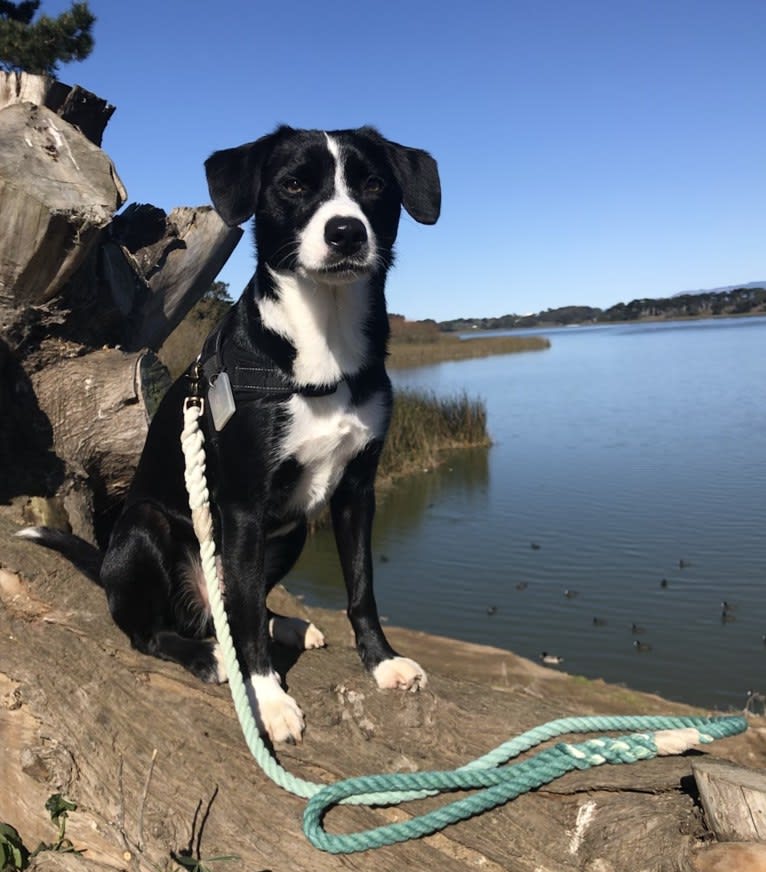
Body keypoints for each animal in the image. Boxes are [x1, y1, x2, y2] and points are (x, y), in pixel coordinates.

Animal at [18, 124, 444, 744]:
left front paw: (381, 662)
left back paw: (283, 624)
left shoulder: (356, 492)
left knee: (246, 603)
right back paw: (205, 654)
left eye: (373, 184)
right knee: (154, 631)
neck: (324, 342)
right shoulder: (244, 505)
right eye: (294, 185)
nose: (346, 231)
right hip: (146, 528)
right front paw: (269, 701)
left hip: (292, 529)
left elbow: (361, 588)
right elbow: (242, 616)